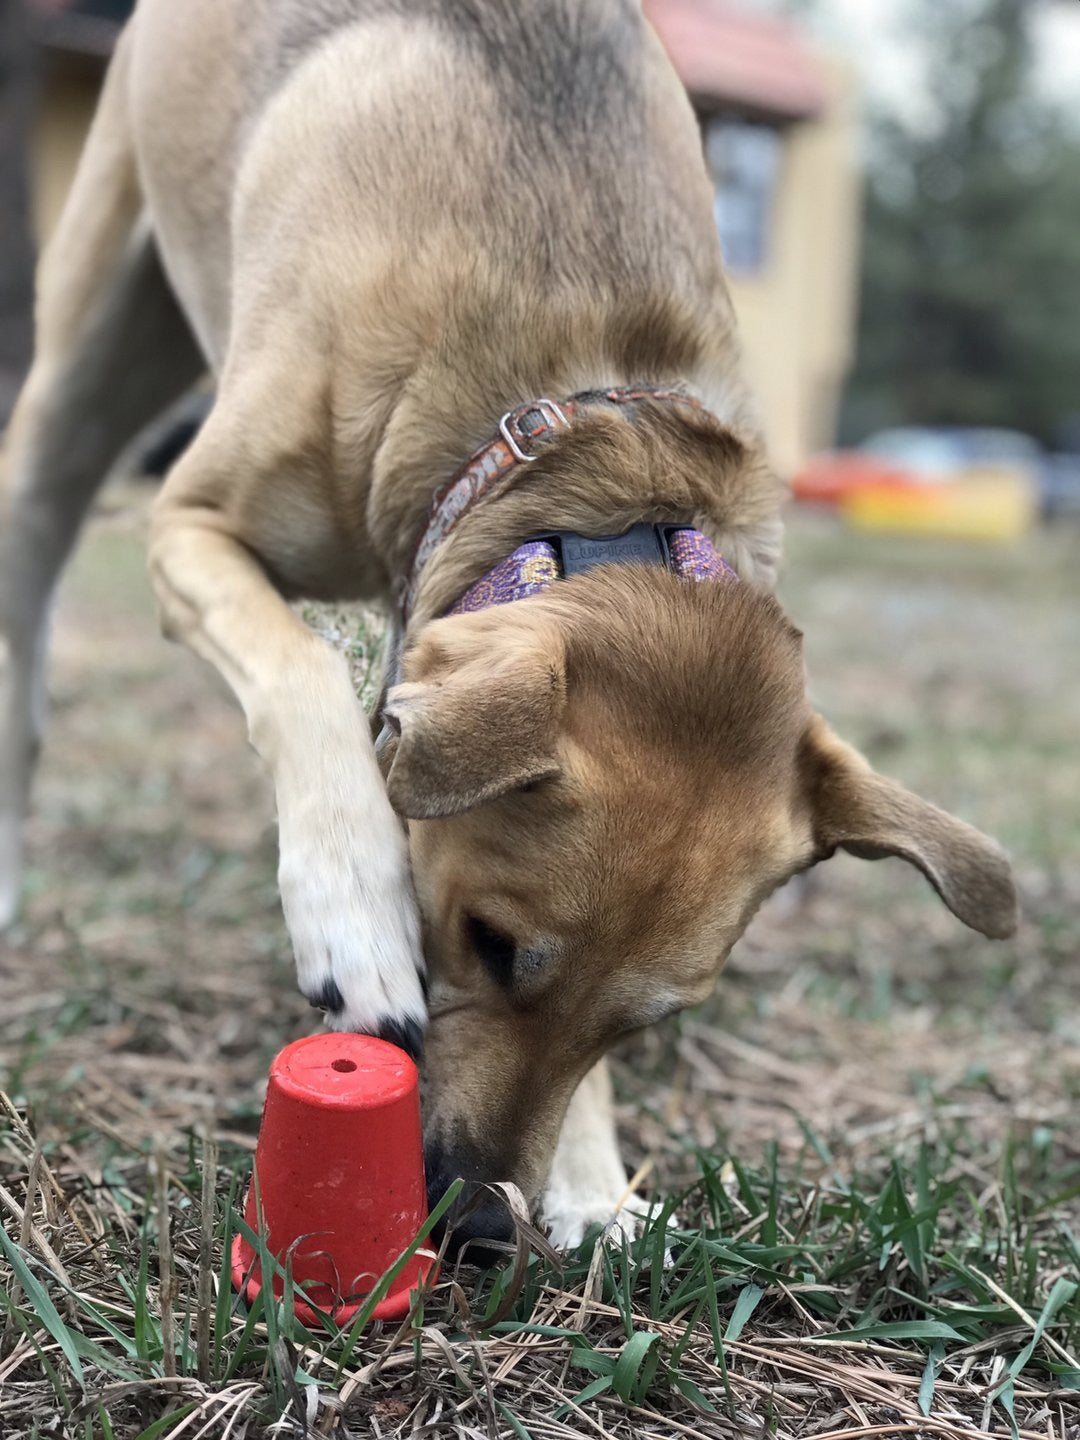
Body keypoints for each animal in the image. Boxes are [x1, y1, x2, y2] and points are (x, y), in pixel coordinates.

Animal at [0, 0, 1013, 1244]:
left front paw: (589, 1179)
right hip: (80, 370)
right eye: (488, 940)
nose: (481, 1223)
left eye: (647, 1023)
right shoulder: (190, 528)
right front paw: (354, 912)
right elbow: (301, 678)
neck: (579, 446)